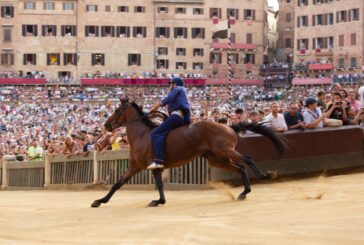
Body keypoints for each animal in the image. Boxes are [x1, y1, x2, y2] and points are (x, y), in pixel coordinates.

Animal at [91, 96, 284, 208]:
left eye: (117, 110)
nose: (106, 125)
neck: (142, 135)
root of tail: (228, 127)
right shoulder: (140, 166)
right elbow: (119, 184)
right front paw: (99, 201)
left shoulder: (145, 166)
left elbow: (126, 184)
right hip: (217, 158)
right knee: (240, 167)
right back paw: (244, 193)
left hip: (225, 150)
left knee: (248, 160)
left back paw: (264, 176)